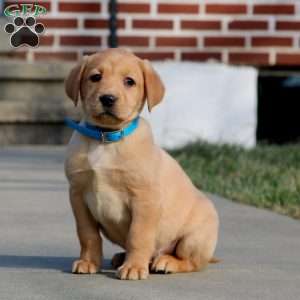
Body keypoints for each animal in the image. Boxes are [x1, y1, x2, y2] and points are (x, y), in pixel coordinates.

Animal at [64, 48, 219, 280]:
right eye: (95, 77)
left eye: (129, 81)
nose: (107, 98)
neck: (105, 138)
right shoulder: (78, 195)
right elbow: (87, 234)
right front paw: (88, 262)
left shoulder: (144, 199)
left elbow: (138, 236)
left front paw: (134, 267)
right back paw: (123, 257)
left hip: (194, 238)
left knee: (191, 261)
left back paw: (165, 262)